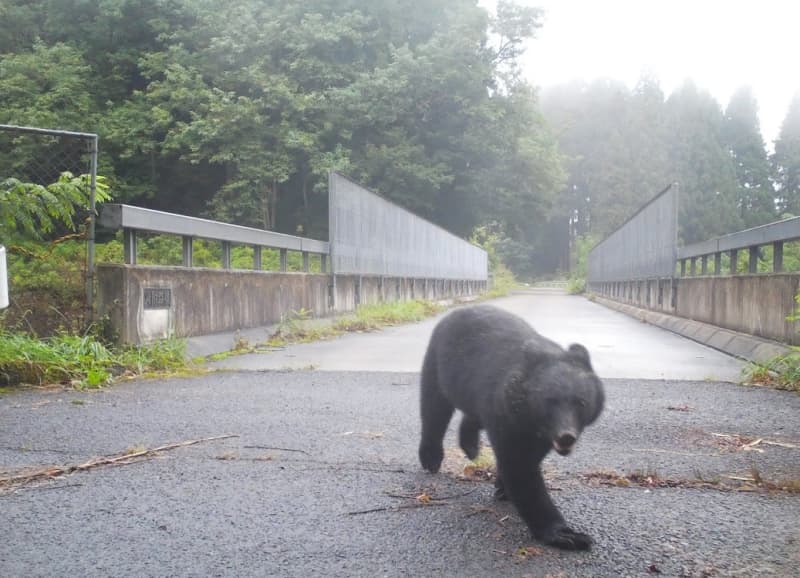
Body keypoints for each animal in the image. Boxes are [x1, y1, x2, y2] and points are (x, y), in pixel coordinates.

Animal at [422, 304, 604, 548]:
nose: (566, 436)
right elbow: (520, 467)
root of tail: (458, 310)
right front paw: (566, 534)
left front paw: (501, 488)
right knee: (434, 408)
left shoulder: (534, 430)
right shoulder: (507, 414)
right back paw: (431, 458)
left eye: (581, 402)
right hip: (438, 363)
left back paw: (470, 446)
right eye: (549, 402)